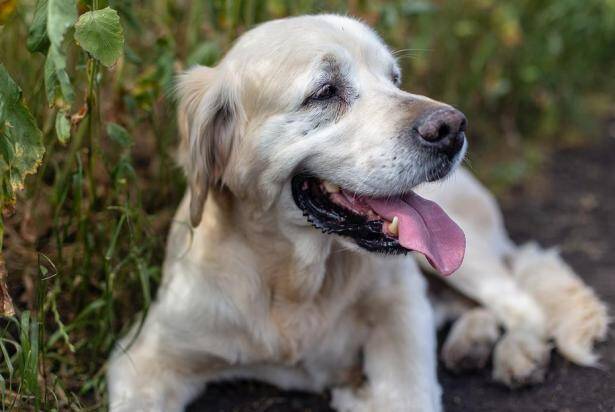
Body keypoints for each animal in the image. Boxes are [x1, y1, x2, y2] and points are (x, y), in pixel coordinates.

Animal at [107, 14, 612, 410]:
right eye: (325, 91)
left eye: (395, 79)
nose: (453, 127)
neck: (293, 283)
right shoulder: (143, 359)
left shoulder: (402, 308)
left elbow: (410, 394)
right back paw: (472, 341)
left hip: (466, 256)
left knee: (518, 300)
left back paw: (519, 351)